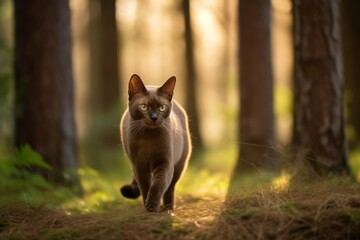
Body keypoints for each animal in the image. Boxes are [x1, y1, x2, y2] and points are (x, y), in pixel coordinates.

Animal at [119, 73, 193, 212]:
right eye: (144, 107)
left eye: (162, 108)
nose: (154, 117)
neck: (148, 139)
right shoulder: (139, 167)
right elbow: (145, 188)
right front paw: (148, 207)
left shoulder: (164, 163)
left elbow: (158, 185)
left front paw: (153, 205)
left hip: (179, 165)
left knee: (170, 188)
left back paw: (168, 208)